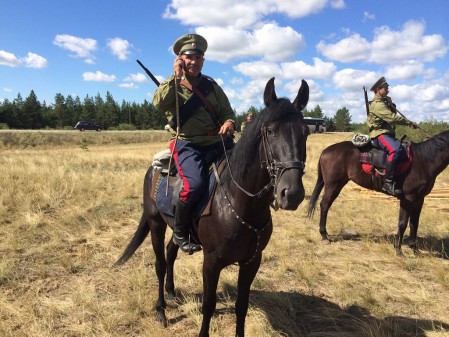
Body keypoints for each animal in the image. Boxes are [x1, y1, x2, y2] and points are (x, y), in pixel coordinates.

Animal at [114, 77, 308, 334]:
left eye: (306, 132)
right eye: (270, 131)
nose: (292, 193)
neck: (241, 202)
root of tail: (153, 168)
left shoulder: (252, 261)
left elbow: (241, 306)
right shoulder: (212, 262)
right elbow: (208, 304)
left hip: (176, 228)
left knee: (171, 250)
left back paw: (171, 291)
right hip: (156, 223)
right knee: (160, 263)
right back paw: (161, 310)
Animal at [306, 129, 448, 255]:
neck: (423, 160)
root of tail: (326, 151)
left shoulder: (419, 199)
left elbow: (414, 223)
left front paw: (415, 250)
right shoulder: (407, 199)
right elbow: (402, 223)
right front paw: (399, 250)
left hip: (338, 184)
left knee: (327, 205)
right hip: (332, 185)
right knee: (324, 205)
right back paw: (324, 236)